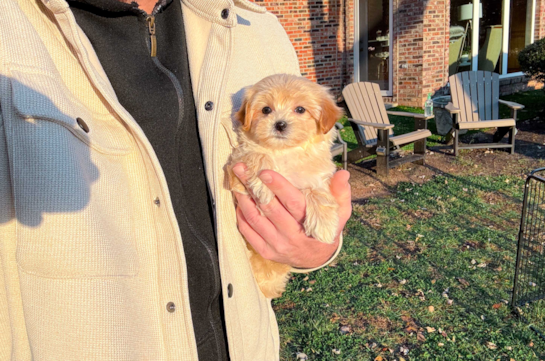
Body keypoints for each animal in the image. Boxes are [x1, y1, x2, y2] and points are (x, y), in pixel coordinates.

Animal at [227, 74, 342, 298]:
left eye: (300, 109)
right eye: (266, 110)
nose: (279, 124)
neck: (285, 152)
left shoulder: (318, 176)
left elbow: (318, 193)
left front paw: (324, 226)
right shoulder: (235, 167)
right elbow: (257, 155)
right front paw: (264, 186)